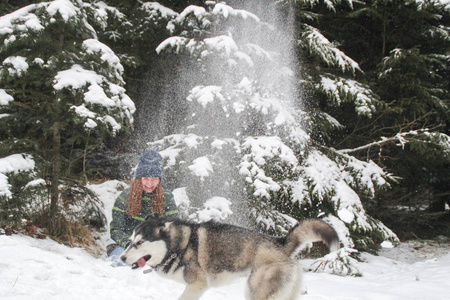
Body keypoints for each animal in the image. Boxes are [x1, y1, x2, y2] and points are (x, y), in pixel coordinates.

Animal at [121, 214, 340, 298]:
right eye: (129, 241)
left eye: (139, 243)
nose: (121, 258)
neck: (178, 246)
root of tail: (280, 243)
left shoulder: (197, 285)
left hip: (255, 290)